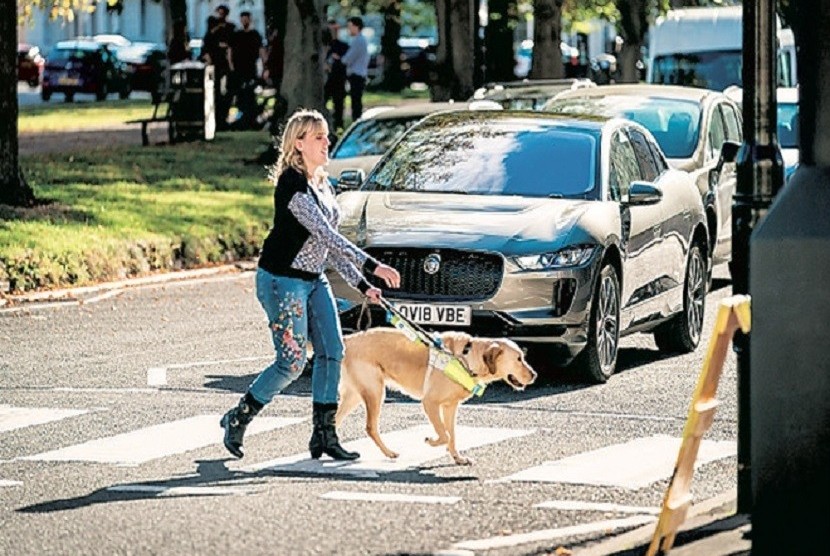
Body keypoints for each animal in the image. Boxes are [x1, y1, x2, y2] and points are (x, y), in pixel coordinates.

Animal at [338, 326, 540, 464]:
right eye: (519, 359)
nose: (534, 375)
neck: (466, 358)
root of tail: (348, 339)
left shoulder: (450, 407)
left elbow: (452, 434)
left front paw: (457, 457)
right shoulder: (430, 403)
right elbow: (445, 435)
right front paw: (432, 441)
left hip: (355, 396)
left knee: (335, 419)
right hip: (375, 392)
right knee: (370, 427)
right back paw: (389, 452)